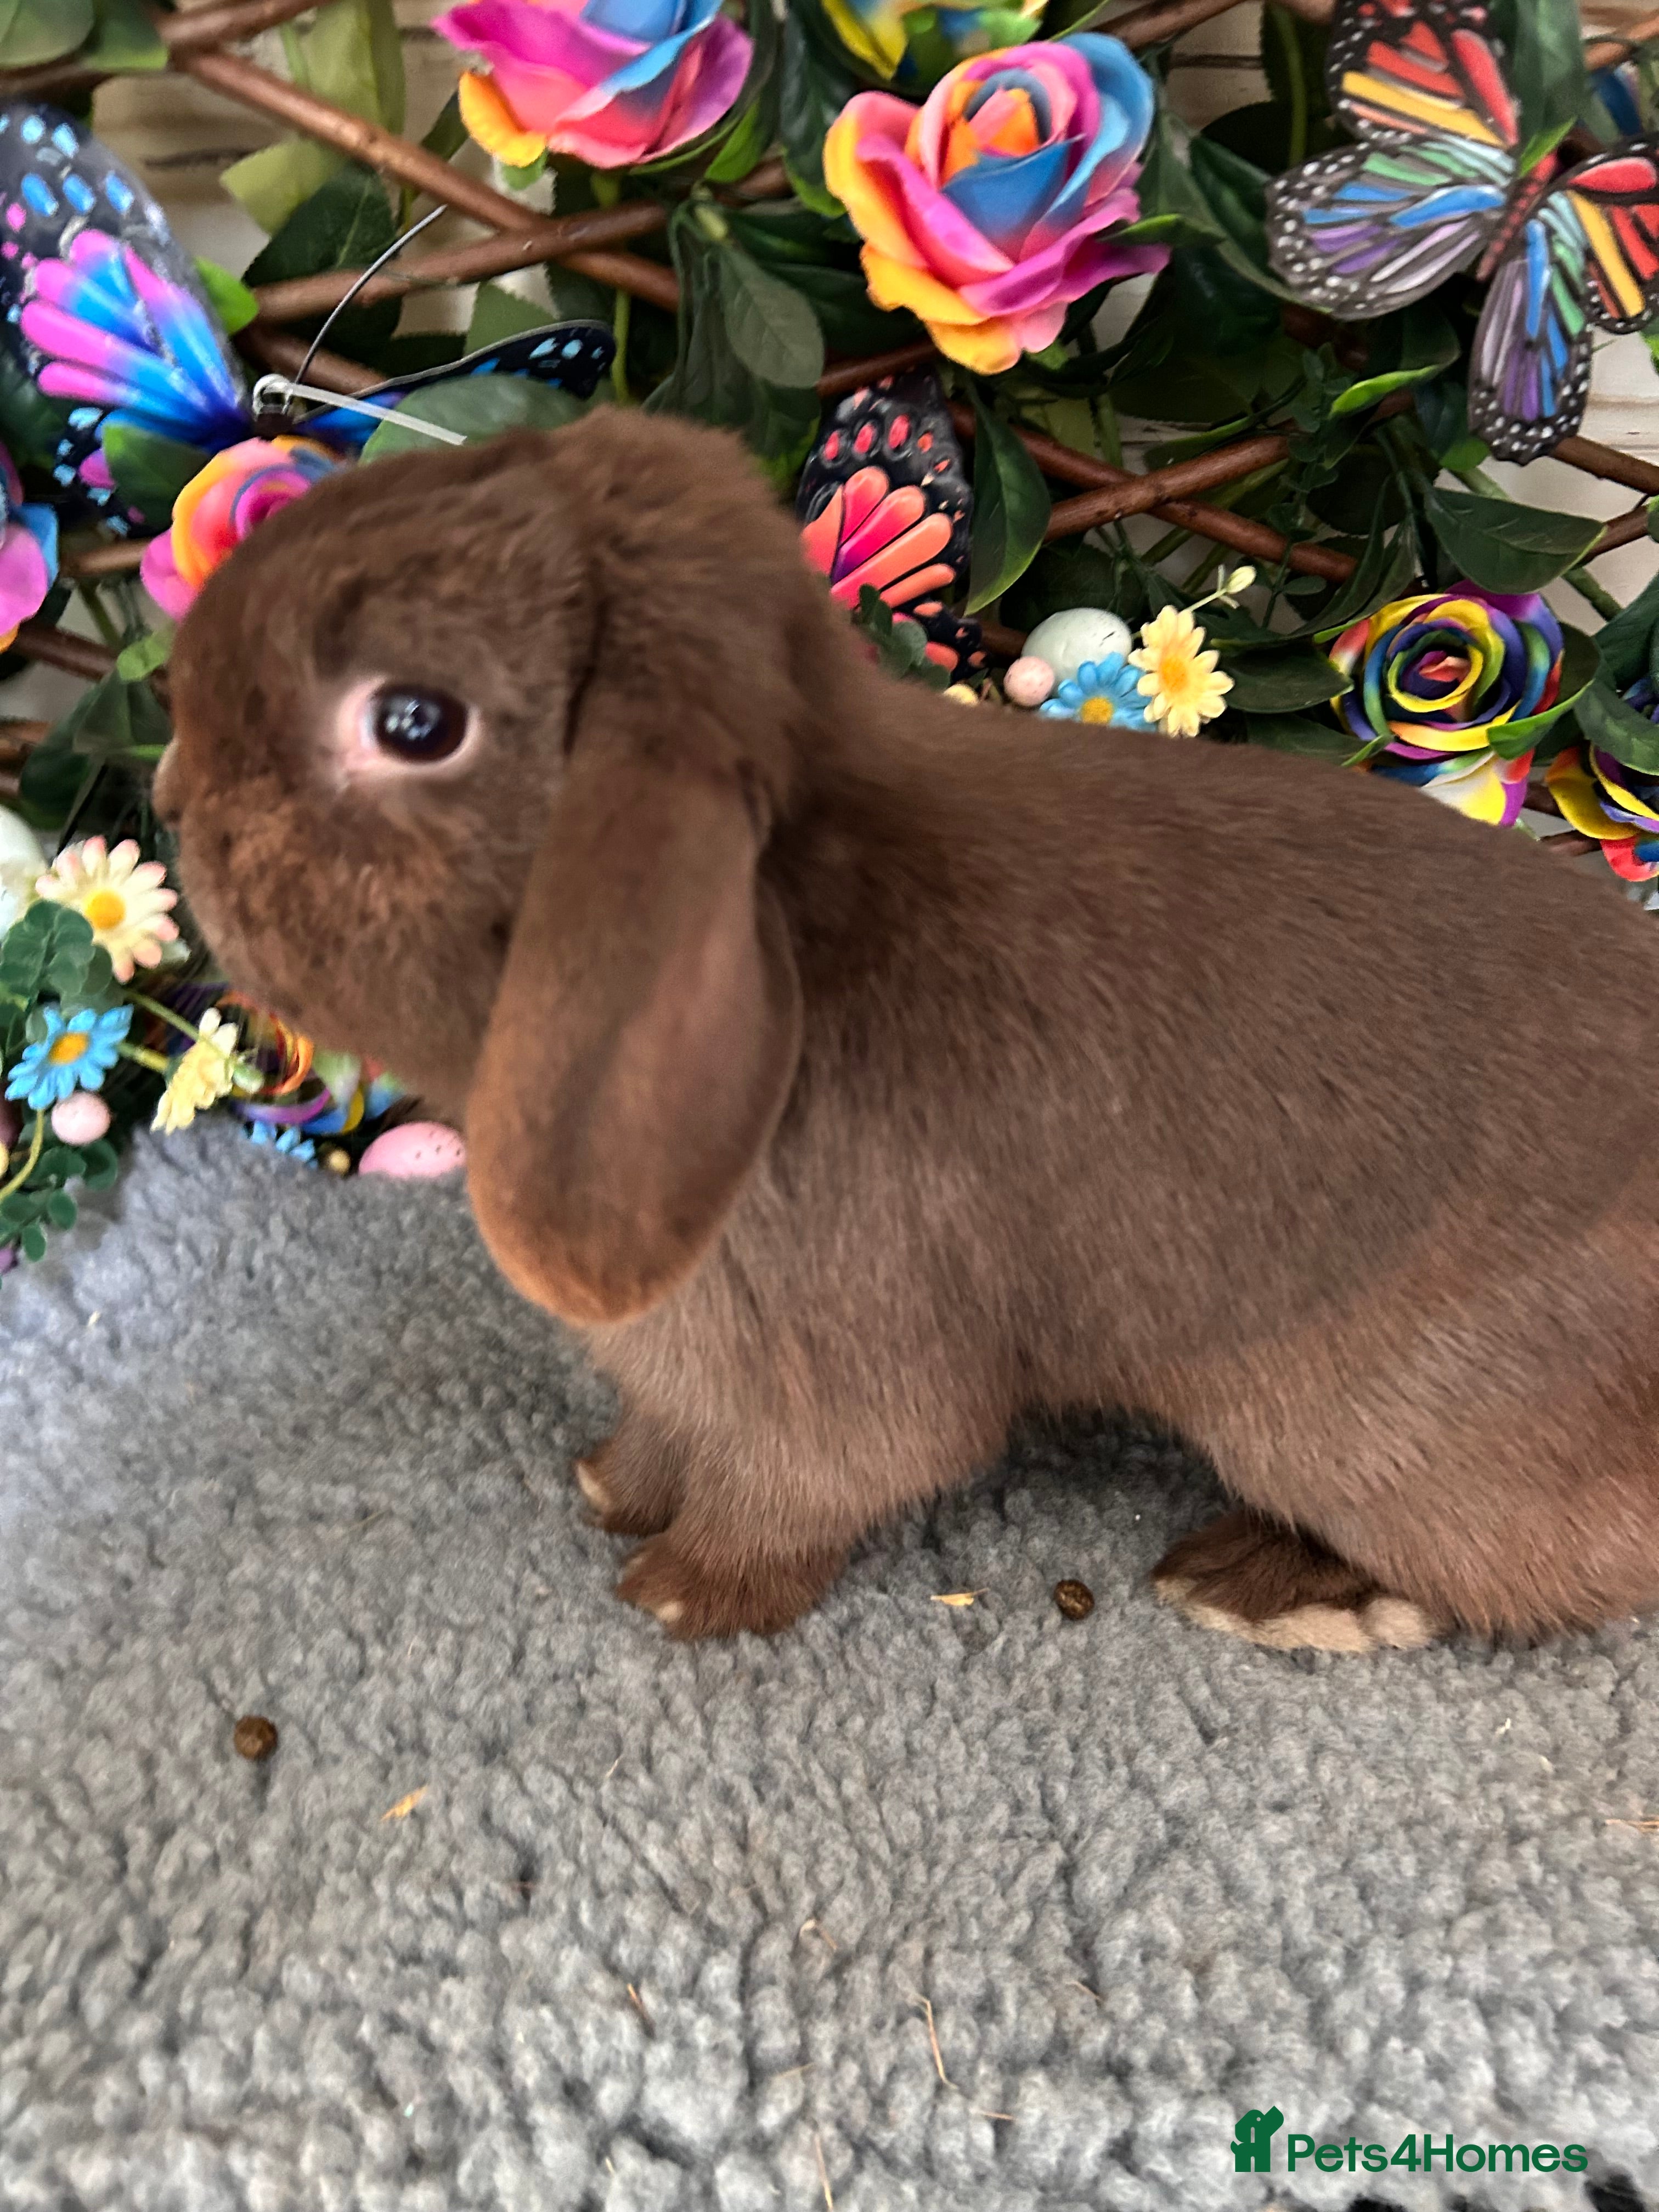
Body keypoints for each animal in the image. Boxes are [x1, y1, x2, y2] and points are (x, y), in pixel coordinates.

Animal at [156, 406, 1659, 1650]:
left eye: (415, 722)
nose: (170, 796)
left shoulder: (833, 1376)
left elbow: (816, 1485)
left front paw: (680, 1590)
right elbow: (664, 1432)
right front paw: (608, 1486)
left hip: (1366, 1431)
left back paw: (1265, 1587)